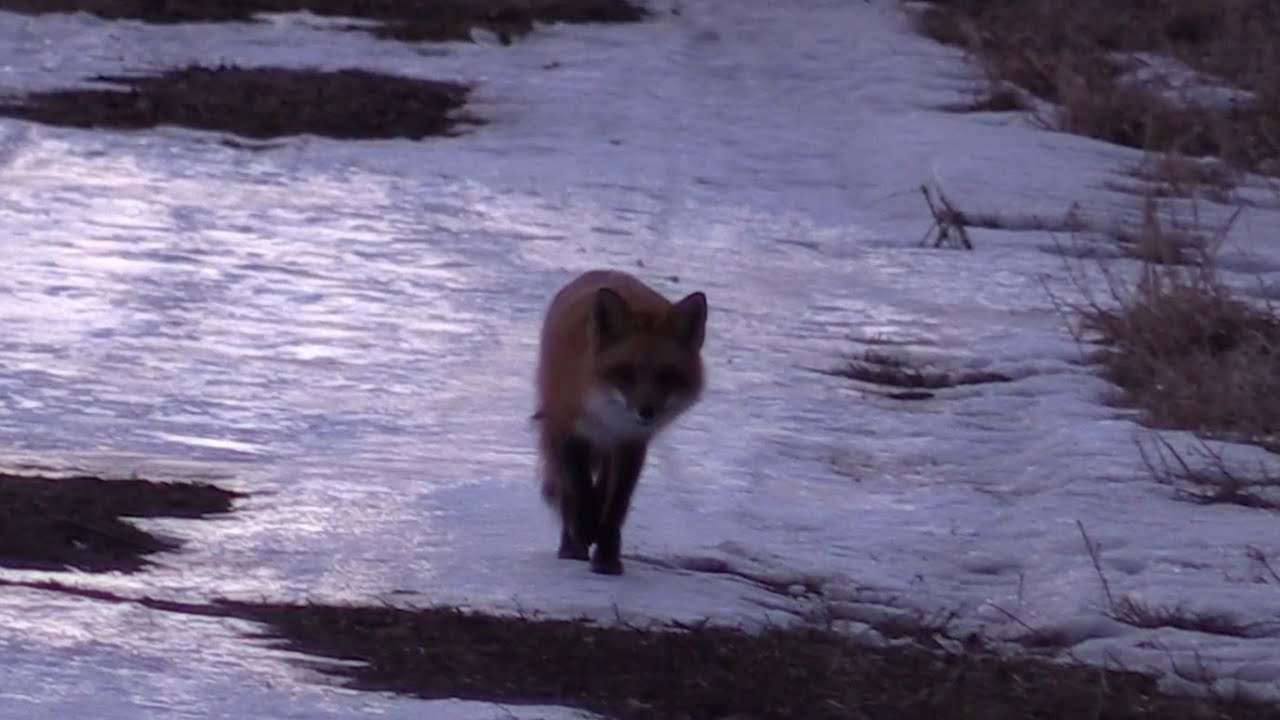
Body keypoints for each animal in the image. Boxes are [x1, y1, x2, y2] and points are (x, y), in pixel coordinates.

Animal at [533, 269, 708, 575]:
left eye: (667, 376)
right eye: (625, 373)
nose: (647, 412)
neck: (607, 417)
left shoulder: (631, 443)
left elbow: (616, 504)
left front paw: (607, 558)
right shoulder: (567, 429)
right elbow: (577, 489)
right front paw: (584, 530)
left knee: (601, 489)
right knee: (567, 492)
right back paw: (572, 545)